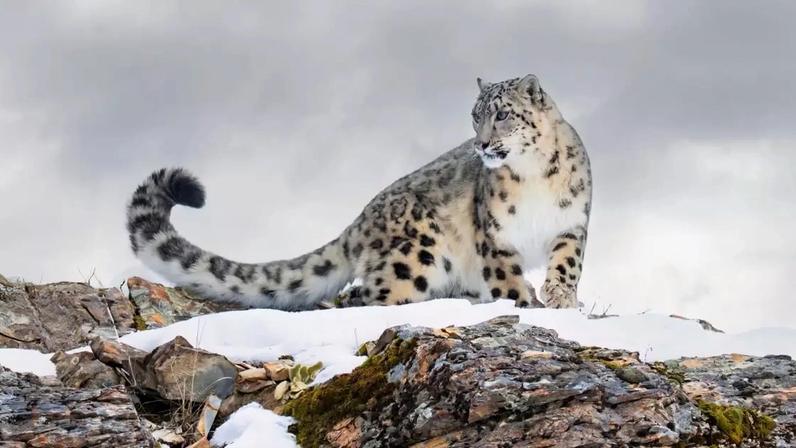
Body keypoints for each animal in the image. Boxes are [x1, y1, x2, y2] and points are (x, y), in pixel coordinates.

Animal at [127, 74, 592, 310]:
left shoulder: (572, 223)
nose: (481, 144)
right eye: (474, 117)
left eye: (502, 114)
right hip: (416, 256)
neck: (534, 177)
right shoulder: (494, 236)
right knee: (368, 295)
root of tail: (359, 223)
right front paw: (525, 303)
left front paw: (561, 299)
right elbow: (507, 279)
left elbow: (567, 263)